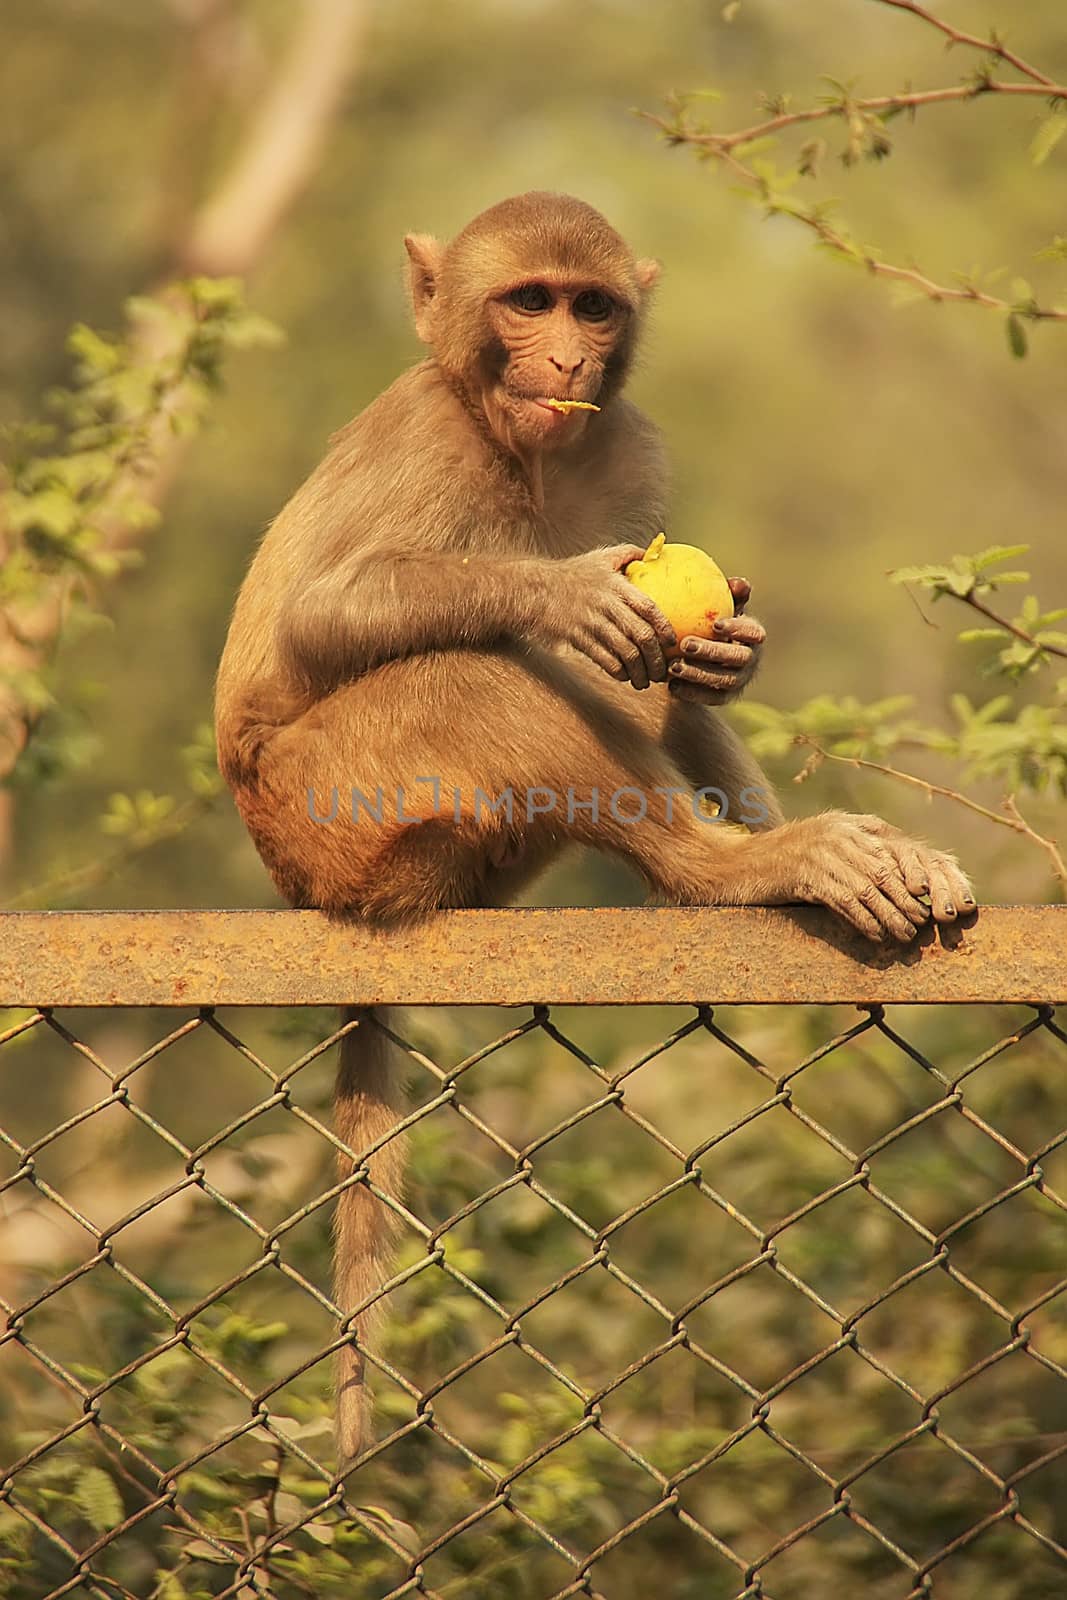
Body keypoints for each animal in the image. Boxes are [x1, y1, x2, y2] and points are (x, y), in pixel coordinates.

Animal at [214, 190, 979, 1465]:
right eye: (528, 301)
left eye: (593, 308)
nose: (567, 358)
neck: (518, 443)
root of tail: (301, 887)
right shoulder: (424, 434)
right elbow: (327, 611)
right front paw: (561, 589)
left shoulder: (628, 446)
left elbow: (673, 669)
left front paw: (729, 656)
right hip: (332, 810)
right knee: (485, 674)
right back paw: (731, 871)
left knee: (634, 692)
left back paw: (794, 850)